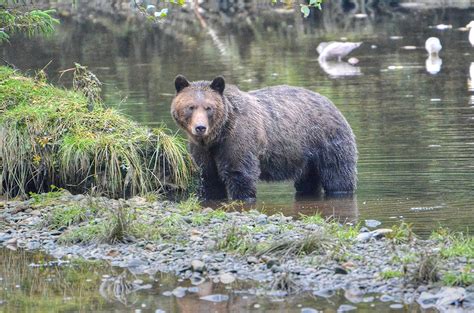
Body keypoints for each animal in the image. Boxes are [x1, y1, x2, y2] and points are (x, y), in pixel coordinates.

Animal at [169, 76, 356, 201]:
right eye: (190, 107)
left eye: (209, 107)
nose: (200, 127)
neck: (218, 135)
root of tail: (329, 102)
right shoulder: (202, 149)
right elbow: (208, 177)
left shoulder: (238, 139)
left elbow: (240, 173)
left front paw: (243, 196)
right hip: (304, 156)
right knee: (307, 181)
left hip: (327, 141)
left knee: (338, 176)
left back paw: (341, 190)